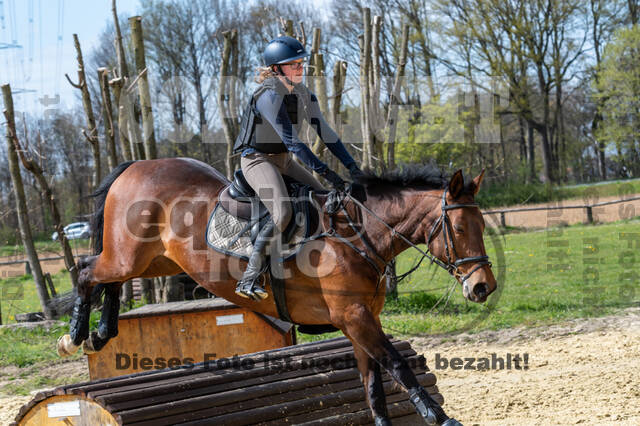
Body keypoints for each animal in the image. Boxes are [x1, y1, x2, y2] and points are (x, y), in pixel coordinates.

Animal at [56, 158, 496, 424]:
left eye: (482, 225)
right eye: (459, 228)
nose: (483, 287)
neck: (358, 234)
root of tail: (137, 166)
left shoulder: (360, 321)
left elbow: (373, 384)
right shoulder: (354, 318)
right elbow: (397, 366)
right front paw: (441, 417)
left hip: (154, 261)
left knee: (109, 282)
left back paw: (100, 335)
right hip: (127, 256)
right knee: (87, 271)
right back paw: (74, 336)